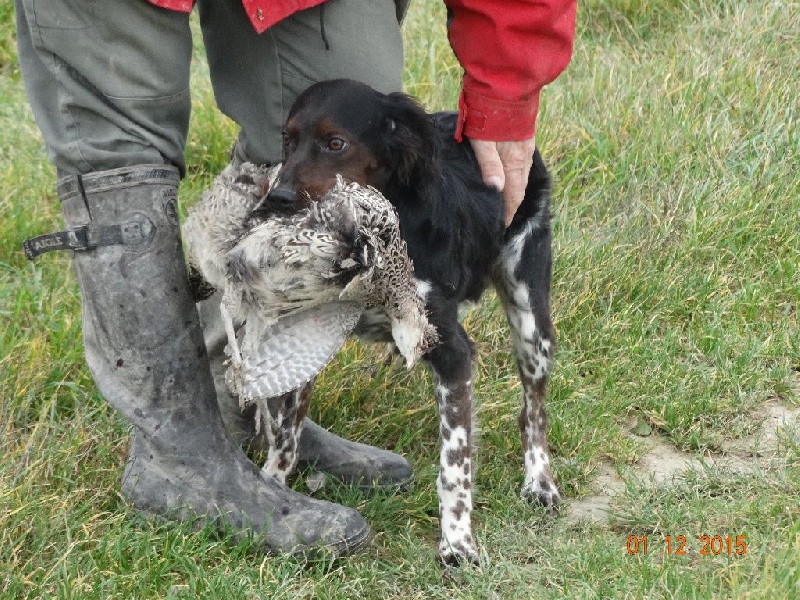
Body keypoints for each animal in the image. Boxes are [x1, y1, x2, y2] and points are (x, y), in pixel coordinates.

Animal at [256, 78, 556, 564]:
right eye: (288, 139)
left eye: (335, 143)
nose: (277, 200)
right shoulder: (306, 337)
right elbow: (285, 434)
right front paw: (273, 492)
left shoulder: (453, 353)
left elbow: (455, 464)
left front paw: (458, 542)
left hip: (532, 325)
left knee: (533, 411)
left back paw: (540, 482)